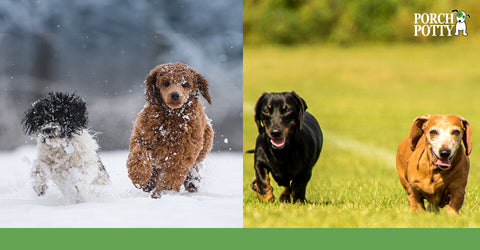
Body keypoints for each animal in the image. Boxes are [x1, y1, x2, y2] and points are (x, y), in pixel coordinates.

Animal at [126, 63, 213, 199]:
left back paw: (192, 183)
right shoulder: (142, 136)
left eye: (185, 84)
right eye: (166, 83)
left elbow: (171, 177)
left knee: (193, 168)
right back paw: (148, 183)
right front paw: (139, 176)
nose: (175, 95)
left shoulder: (181, 155)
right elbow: (138, 154)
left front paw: (160, 194)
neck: (172, 117)